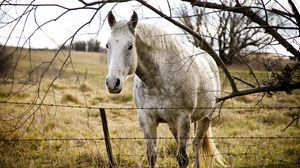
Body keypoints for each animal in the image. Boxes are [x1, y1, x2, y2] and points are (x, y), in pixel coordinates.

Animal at [105, 11, 225, 167]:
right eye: (107, 45)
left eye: (130, 46)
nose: (112, 83)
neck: (158, 80)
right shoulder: (147, 120)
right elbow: (152, 156)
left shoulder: (183, 120)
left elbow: (183, 159)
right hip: (174, 125)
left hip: (206, 117)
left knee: (196, 143)